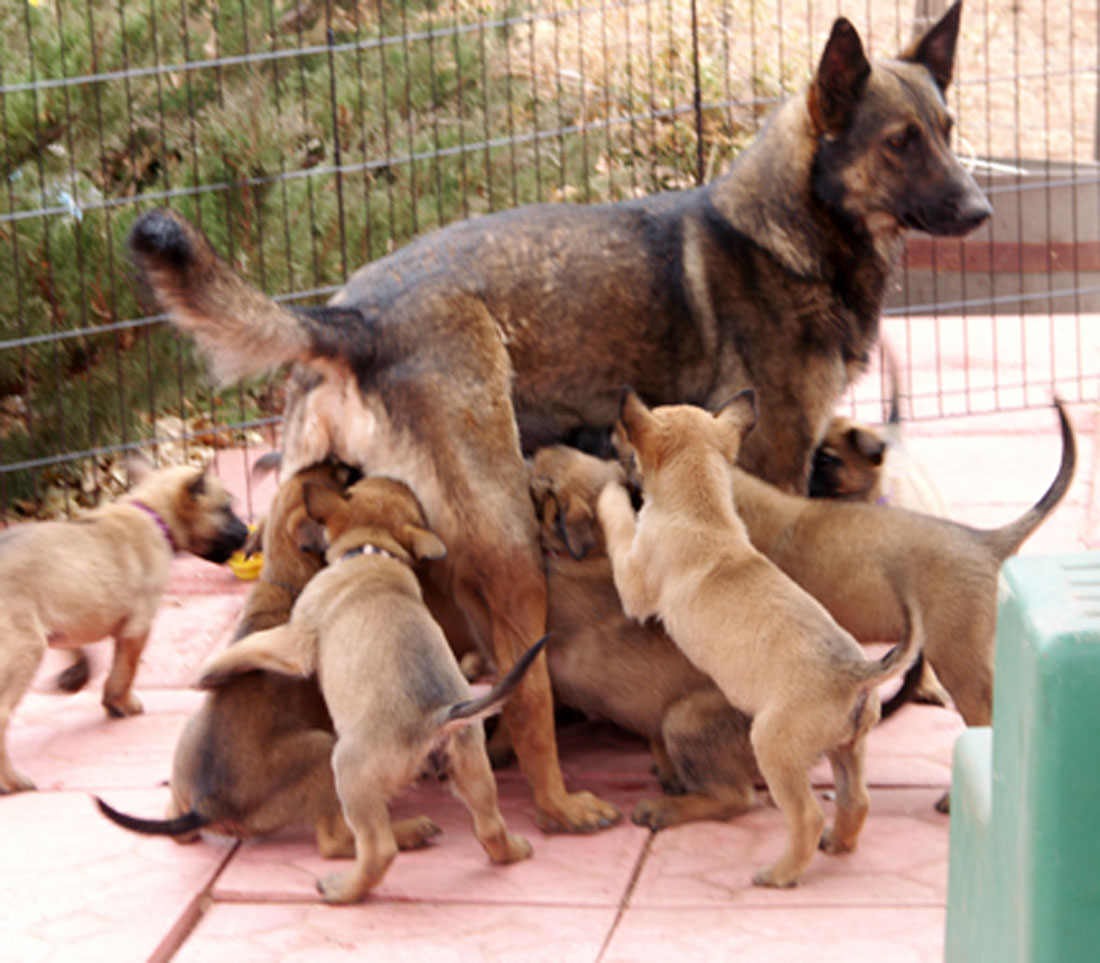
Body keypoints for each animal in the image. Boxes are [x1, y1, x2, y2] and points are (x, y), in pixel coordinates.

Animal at [94, 462, 437, 858]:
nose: (357, 466)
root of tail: (209, 806)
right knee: (335, 841)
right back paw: (410, 830)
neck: (287, 577)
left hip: (191, 737)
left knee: (179, 826)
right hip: (323, 750)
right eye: (340, 478)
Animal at [199, 477, 541, 906]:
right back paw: (514, 850)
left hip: (349, 772)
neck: (372, 550)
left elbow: (251, 647)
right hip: (472, 769)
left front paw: (209, 673)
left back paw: (341, 889)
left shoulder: (295, 641)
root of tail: (438, 718)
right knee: (490, 828)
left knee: (377, 850)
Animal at [530, 444, 756, 827]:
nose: (528, 452)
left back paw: (664, 809)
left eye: (538, 480)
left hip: (684, 719)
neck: (592, 553)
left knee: (735, 797)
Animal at [598, 391, 924, 889]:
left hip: (773, 749)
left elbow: (619, 527)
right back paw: (838, 843)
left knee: (805, 815)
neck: (705, 512)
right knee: (856, 800)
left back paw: (781, 873)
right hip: (847, 749)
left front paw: (609, 494)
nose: (605, 437)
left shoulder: (634, 585)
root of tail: (855, 674)